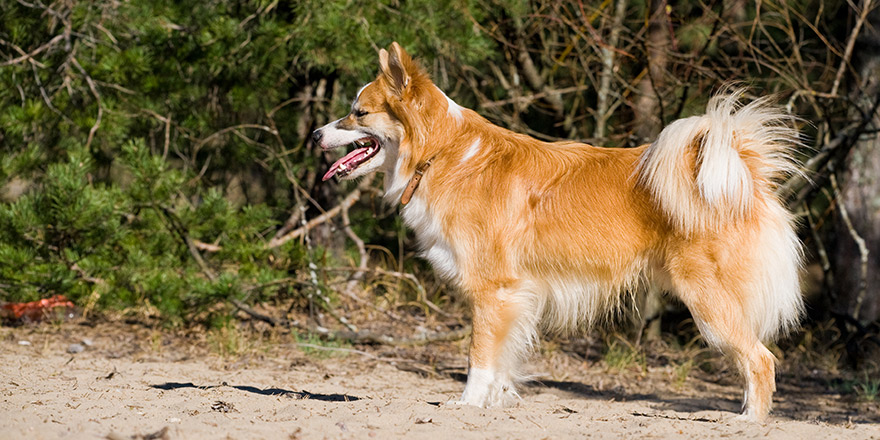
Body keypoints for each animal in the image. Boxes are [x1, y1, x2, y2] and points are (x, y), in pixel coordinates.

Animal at [312, 42, 804, 422]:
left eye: (358, 113)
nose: (315, 134)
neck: (443, 152)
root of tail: (744, 171)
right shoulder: (516, 297)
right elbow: (503, 361)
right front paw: (497, 403)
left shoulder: (493, 291)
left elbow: (478, 357)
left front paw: (468, 405)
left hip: (707, 299)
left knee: (760, 360)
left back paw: (748, 421)